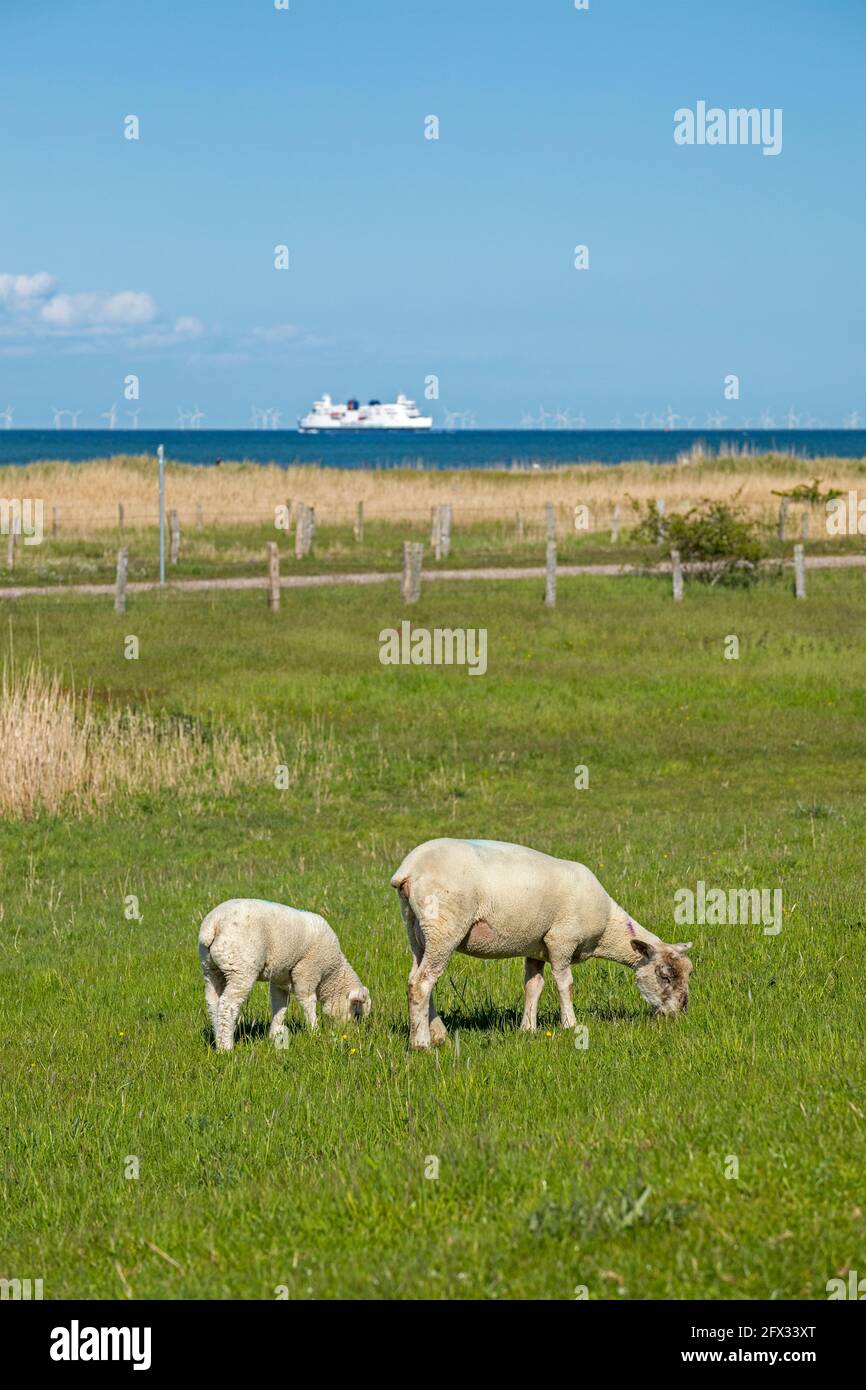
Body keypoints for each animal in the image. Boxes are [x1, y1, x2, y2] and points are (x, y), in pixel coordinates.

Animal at [200, 900, 372, 1050]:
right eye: (357, 1014)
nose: (351, 1034)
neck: (331, 973)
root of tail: (213, 924)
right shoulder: (307, 970)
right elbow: (308, 1000)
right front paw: (314, 1031)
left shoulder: (281, 979)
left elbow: (280, 1005)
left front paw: (274, 1035)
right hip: (240, 968)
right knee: (227, 1005)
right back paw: (226, 1048)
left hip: (211, 969)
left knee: (213, 1003)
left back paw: (218, 1039)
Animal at [389, 834, 695, 1050]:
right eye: (665, 976)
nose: (680, 1014)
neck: (609, 925)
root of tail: (409, 869)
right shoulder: (562, 939)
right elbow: (565, 983)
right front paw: (570, 1024)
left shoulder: (537, 948)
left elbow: (533, 986)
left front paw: (528, 1028)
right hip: (444, 926)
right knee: (422, 983)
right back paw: (421, 1044)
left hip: (417, 929)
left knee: (418, 979)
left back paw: (437, 1034)